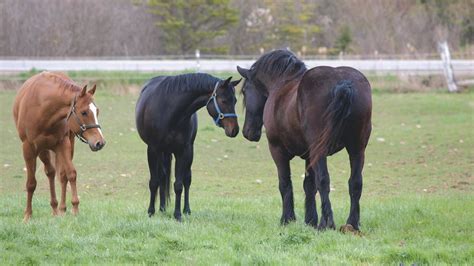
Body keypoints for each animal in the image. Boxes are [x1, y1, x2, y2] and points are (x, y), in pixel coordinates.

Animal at [12, 71, 105, 221]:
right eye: (84, 112)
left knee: (61, 175)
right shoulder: (29, 148)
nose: (100, 142)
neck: (42, 108)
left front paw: (75, 209)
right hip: (42, 150)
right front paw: (27, 215)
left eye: (97, 111)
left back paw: (60, 209)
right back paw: (54, 208)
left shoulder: (63, 143)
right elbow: (31, 183)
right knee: (50, 172)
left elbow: (71, 173)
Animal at [136, 72, 241, 220]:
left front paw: (178, 214)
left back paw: (186, 210)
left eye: (235, 101)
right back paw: (161, 208)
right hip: (162, 152)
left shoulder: (183, 151)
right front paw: (150, 212)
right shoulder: (152, 149)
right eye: (224, 101)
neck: (169, 111)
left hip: (186, 153)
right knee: (162, 177)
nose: (234, 130)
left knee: (186, 179)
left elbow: (179, 184)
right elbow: (154, 182)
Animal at [239, 50, 372, 233]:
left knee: (324, 181)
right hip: (357, 149)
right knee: (355, 183)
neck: (282, 83)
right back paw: (352, 224)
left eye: (245, 91)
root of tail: (343, 82)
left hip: (321, 150)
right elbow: (309, 185)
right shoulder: (310, 156)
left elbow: (285, 183)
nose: (248, 132)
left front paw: (287, 219)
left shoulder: (277, 150)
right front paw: (310, 220)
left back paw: (326, 223)